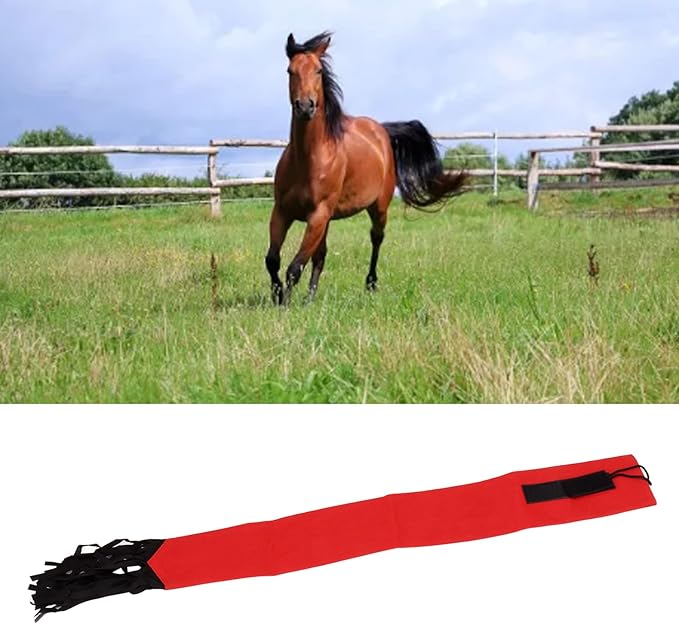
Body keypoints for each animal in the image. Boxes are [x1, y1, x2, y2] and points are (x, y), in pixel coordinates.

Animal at [265, 31, 467, 305]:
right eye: (290, 71)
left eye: (318, 70)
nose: (305, 106)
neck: (308, 158)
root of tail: (381, 130)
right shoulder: (283, 212)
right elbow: (273, 260)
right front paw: (278, 297)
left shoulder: (318, 215)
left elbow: (295, 267)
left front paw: (284, 305)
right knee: (321, 256)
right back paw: (310, 298)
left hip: (378, 207)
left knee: (376, 238)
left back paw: (370, 284)